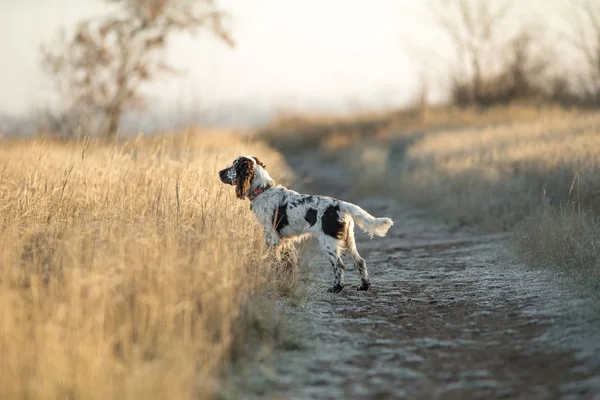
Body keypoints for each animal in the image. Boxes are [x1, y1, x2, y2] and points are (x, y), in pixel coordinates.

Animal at [217, 155, 394, 292]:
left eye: (234, 165)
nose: (219, 172)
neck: (263, 190)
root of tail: (340, 204)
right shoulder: (284, 240)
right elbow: (288, 262)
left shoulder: (272, 238)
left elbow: (273, 260)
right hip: (348, 240)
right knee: (360, 261)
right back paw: (364, 286)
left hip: (328, 242)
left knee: (339, 265)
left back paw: (336, 288)